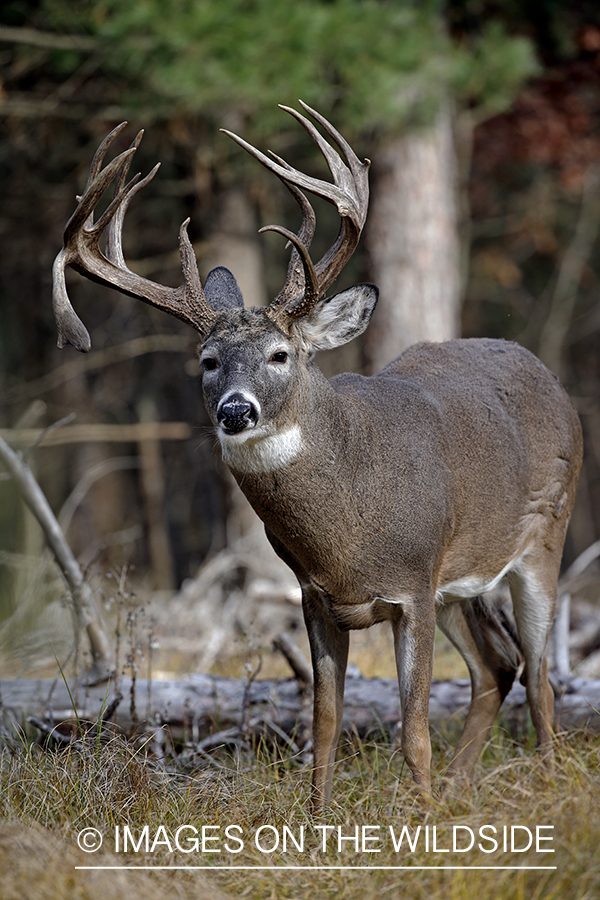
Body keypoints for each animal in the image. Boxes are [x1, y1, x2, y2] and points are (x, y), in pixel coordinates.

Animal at [52, 103, 580, 808]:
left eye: (281, 354)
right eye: (208, 360)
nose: (236, 410)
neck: (346, 531)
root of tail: (552, 379)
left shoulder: (413, 584)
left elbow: (414, 728)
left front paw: (420, 821)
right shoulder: (317, 595)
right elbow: (324, 721)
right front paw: (320, 817)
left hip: (545, 537)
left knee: (542, 675)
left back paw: (543, 789)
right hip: (460, 580)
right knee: (500, 666)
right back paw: (459, 793)